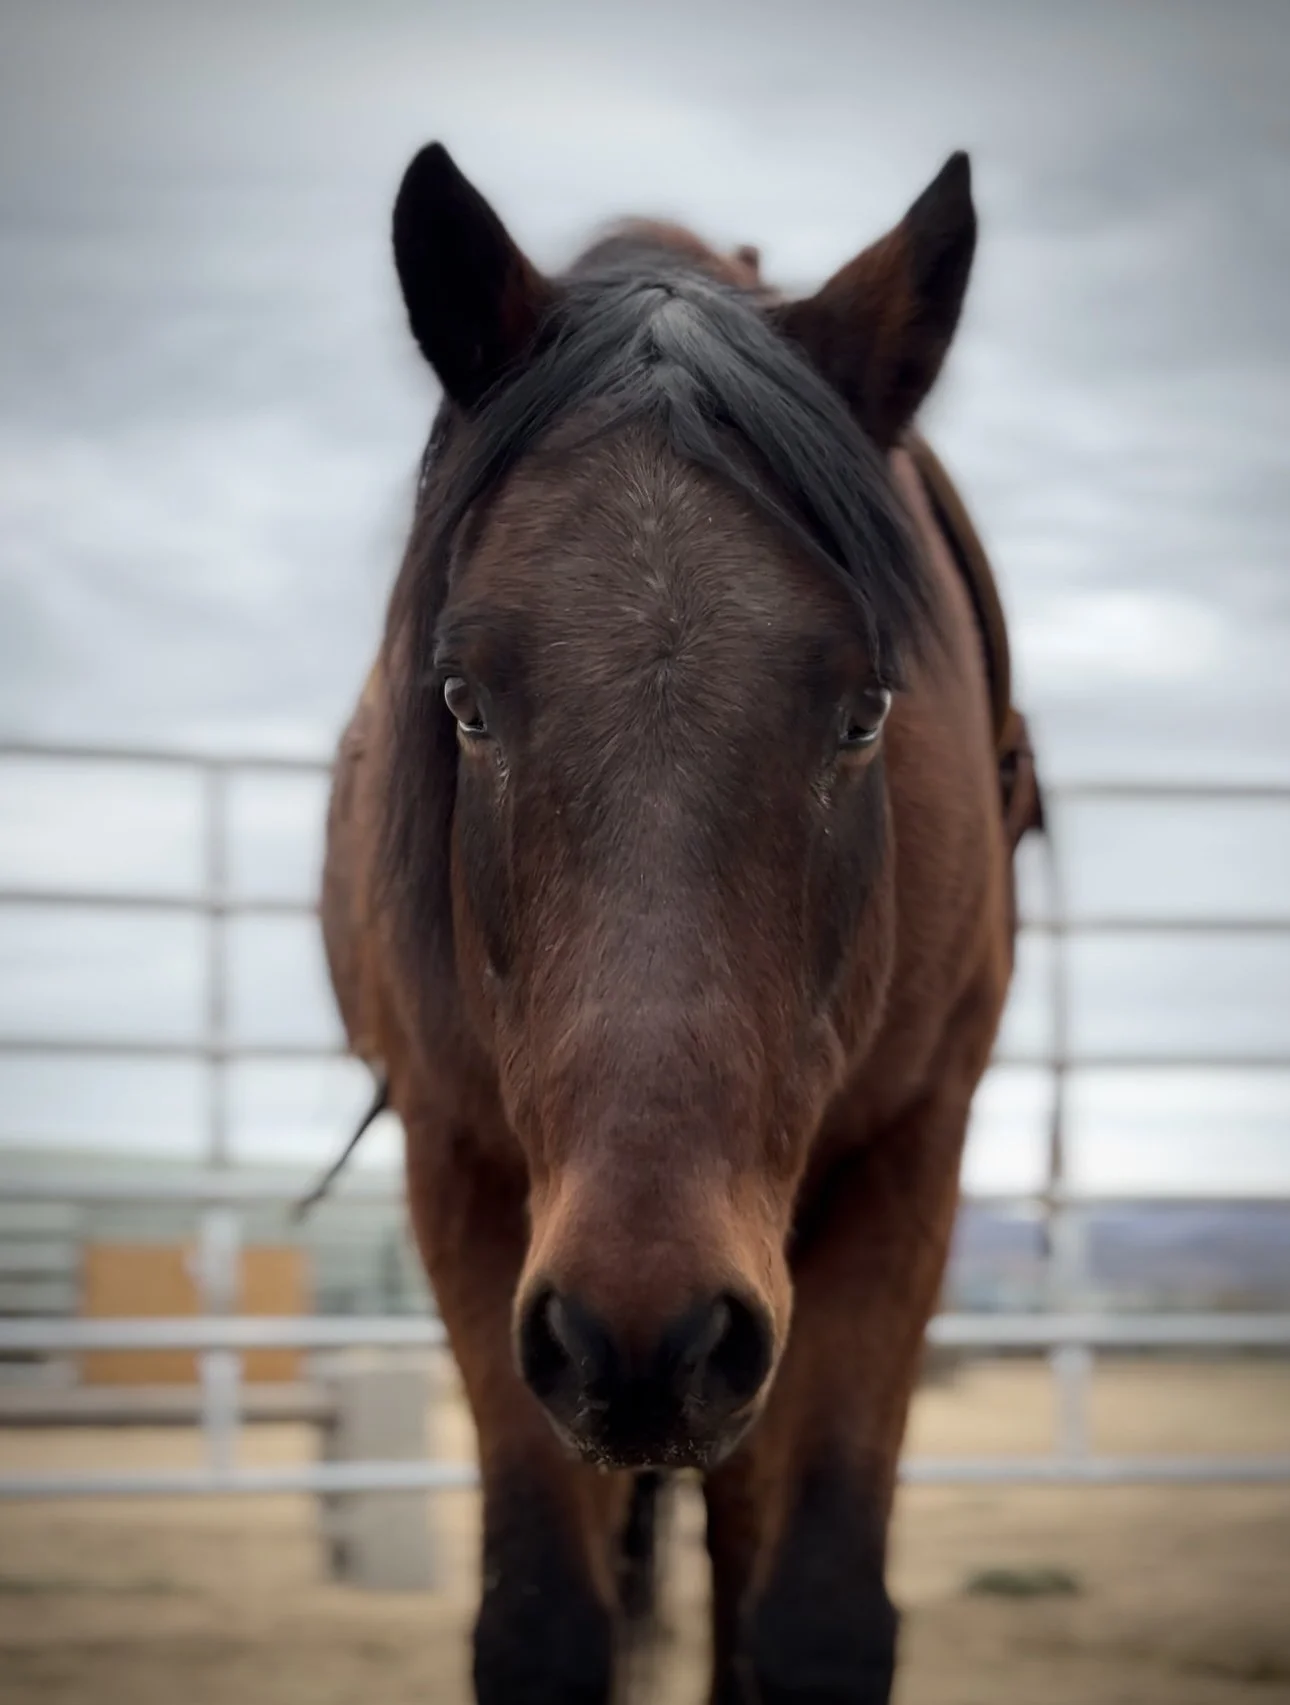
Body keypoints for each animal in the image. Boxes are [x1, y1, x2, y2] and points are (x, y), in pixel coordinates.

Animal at [321, 141, 1042, 1705]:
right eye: (463, 700)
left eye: (865, 710)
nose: (642, 1335)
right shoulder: (463, 1174)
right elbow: (542, 1621)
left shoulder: (905, 1160)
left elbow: (816, 1617)